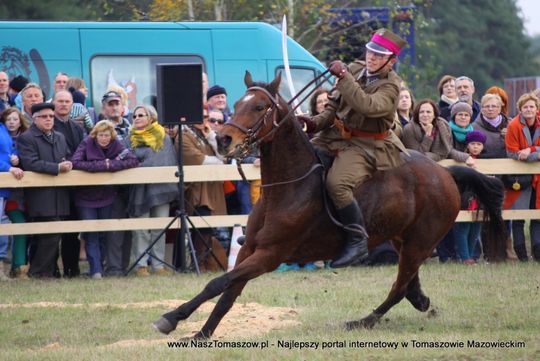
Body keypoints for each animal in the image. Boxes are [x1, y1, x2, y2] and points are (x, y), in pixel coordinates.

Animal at [152, 71, 506, 338]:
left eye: (259, 107)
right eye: (236, 103)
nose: (224, 140)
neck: (287, 187)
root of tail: (444, 172)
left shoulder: (270, 255)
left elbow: (219, 282)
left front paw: (172, 318)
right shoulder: (251, 250)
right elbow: (228, 291)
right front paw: (201, 333)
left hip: (419, 243)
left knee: (398, 288)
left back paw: (363, 321)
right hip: (403, 240)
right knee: (408, 284)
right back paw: (417, 301)